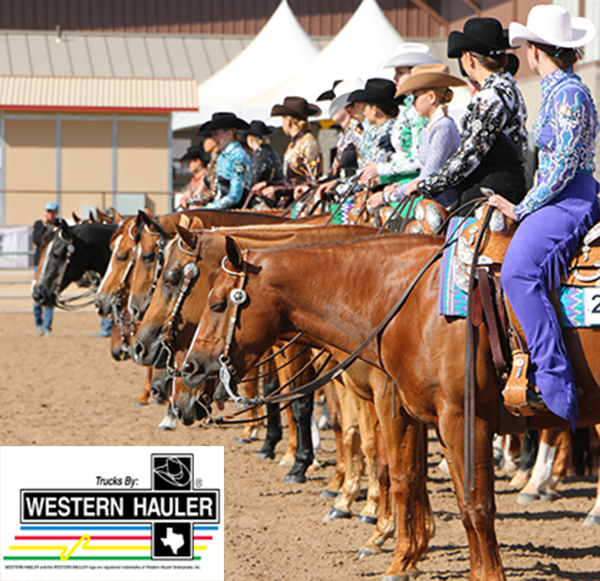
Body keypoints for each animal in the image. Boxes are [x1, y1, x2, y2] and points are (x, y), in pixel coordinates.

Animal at [182, 232, 600, 580]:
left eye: (217, 303)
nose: (189, 368)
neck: (408, 303)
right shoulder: (424, 416)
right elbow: (413, 480)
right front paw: (405, 558)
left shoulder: (459, 418)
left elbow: (474, 504)